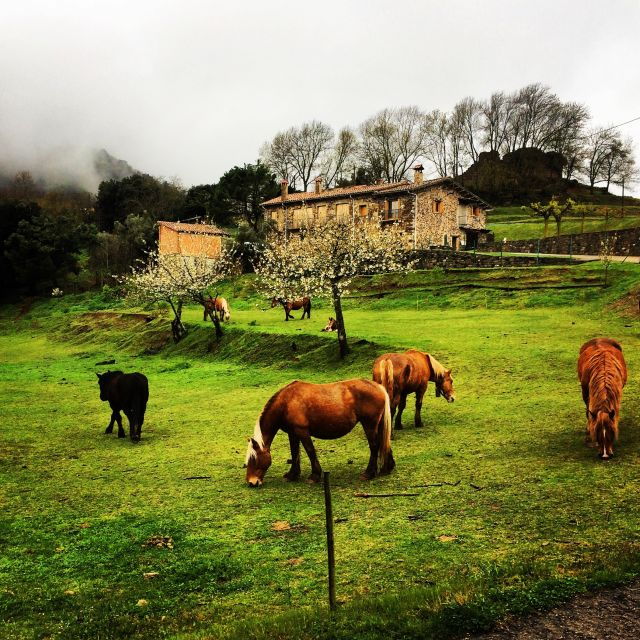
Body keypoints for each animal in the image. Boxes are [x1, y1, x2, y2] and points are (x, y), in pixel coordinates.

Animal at [245, 378, 396, 488]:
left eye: (254, 459)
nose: (252, 482)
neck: (286, 402)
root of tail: (378, 387)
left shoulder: (302, 431)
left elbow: (310, 451)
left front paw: (315, 476)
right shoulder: (292, 433)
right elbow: (294, 453)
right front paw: (292, 474)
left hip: (369, 425)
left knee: (374, 446)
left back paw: (369, 473)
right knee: (384, 443)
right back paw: (387, 468)